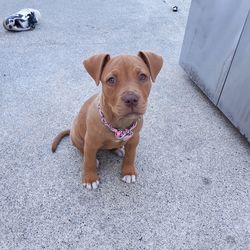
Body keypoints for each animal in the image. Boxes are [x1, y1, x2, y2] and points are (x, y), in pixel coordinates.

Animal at [51, 50, 163, 189]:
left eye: (143, 76)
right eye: (111, 80)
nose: (131, 99)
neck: (119, 124)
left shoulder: (134, 140)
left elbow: (130, 156)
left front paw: (128, 171)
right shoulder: (90, 143)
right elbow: (88, 161)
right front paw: (90, 179)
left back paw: (118, 149)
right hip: (77, 137)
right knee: (82, 151)